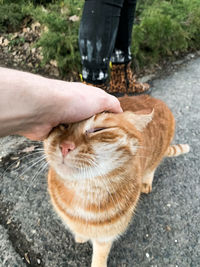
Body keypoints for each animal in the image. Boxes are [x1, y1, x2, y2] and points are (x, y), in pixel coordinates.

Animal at [43, 96, 189, 267]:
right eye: (64, 124)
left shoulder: (105, 237)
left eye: (98, 130)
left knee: (153, 167)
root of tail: (159, 100)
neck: (84, 192)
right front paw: (81, 236)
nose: (65, 147)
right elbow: (79, 230)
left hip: (157, 156)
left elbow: (100, 257)